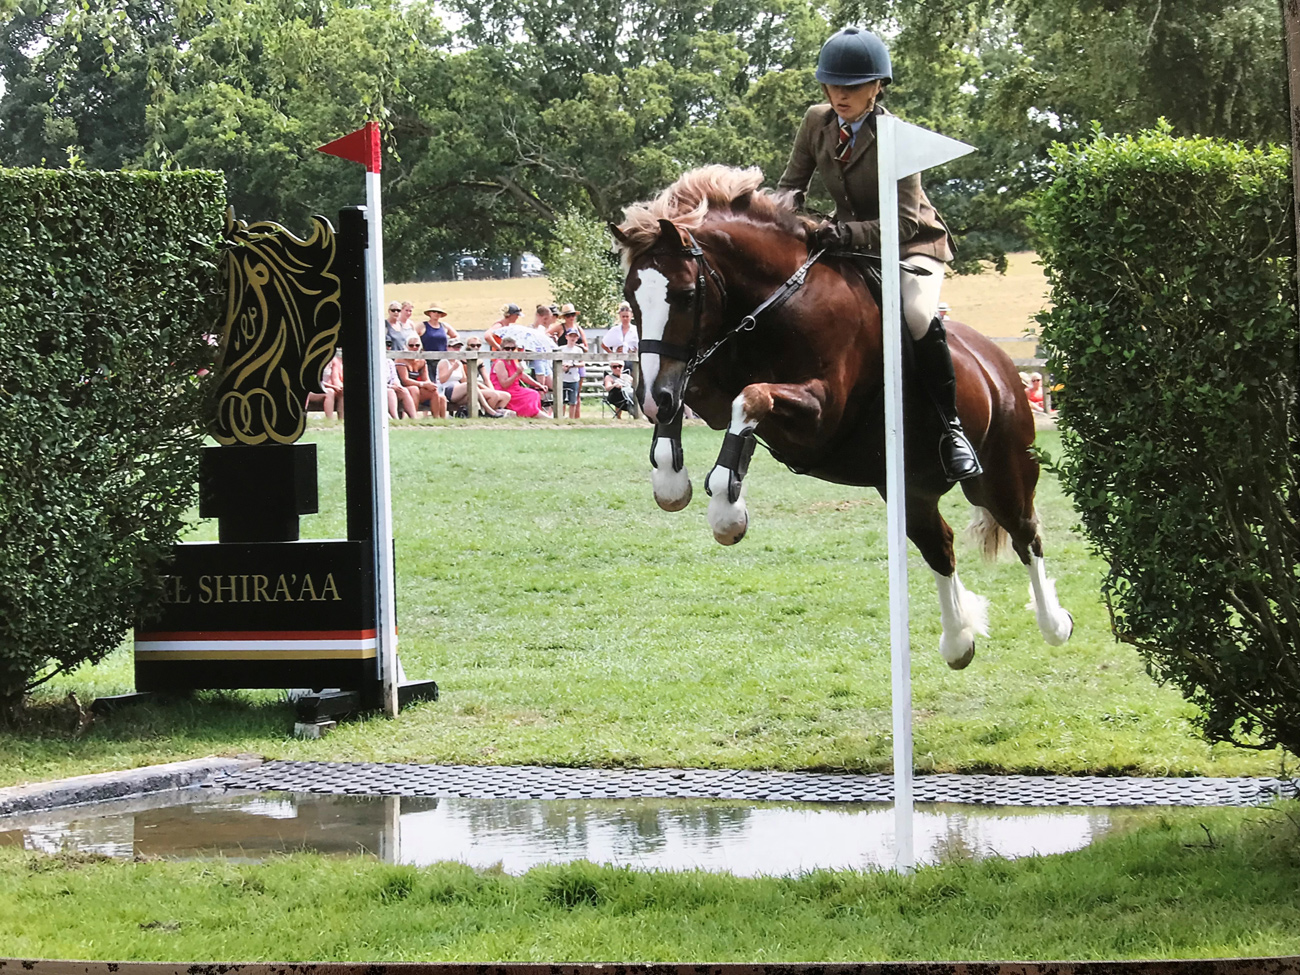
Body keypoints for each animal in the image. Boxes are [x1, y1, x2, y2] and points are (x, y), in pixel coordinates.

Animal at [611, 167, 1076, 670]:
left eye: (684, 294)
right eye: (630, 296)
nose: (652, 398)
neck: (773, 304)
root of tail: (1001, 365)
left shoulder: (821, 414)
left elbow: (751, 399)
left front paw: (725, 513)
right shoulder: (709, 389)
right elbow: (700, 400)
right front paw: (671, 482)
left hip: (1004, 473)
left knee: (1026, 534)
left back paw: (1054, 624)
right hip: (909, 488)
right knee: (940, 545)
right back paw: (958, 642)